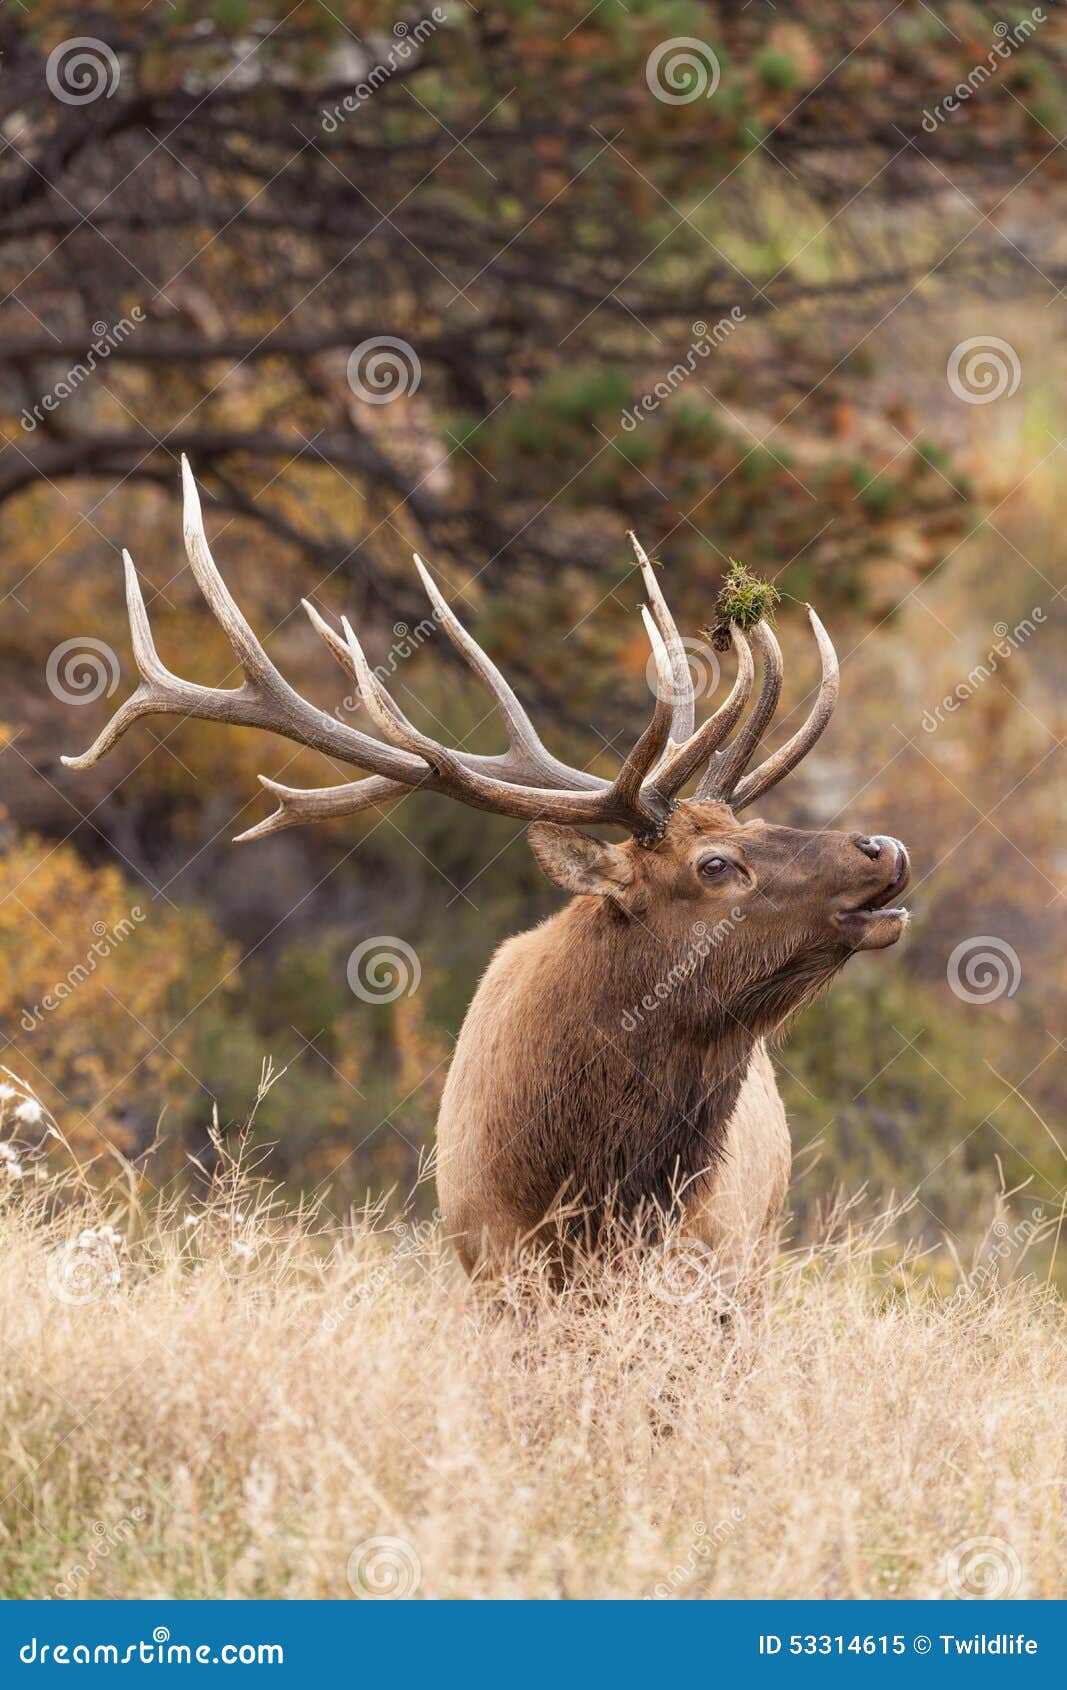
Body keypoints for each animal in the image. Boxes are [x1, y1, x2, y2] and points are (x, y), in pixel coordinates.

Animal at [63, 458, 910, 1294]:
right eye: (714, 864)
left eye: (760, 827)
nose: (884, 849)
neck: (590, 1189)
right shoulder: (494, 1267)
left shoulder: (712, 1267)